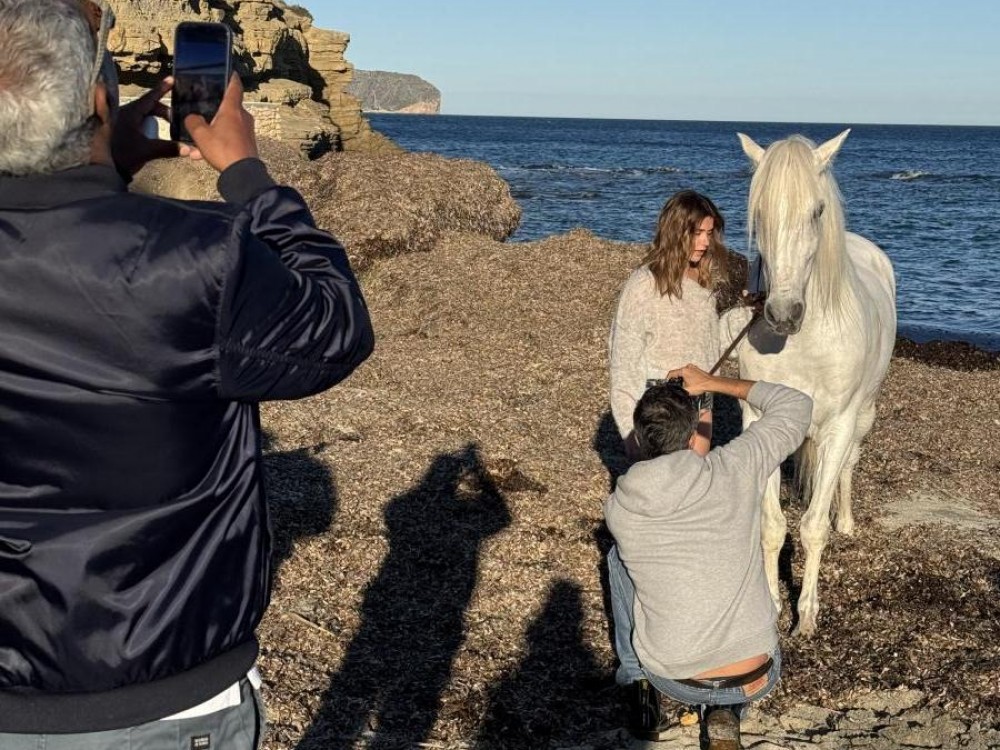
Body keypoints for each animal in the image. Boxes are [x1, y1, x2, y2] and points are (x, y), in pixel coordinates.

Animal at [731, 130, 897, 636]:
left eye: (818, 211)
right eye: (759, 213)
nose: (783, 314)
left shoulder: (839, 425)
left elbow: (812, 527)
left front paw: (805, 616)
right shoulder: (759, 421)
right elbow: (772, 526)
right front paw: (771, 606)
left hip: (864, 416)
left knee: (846, 469)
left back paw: (846, 521)